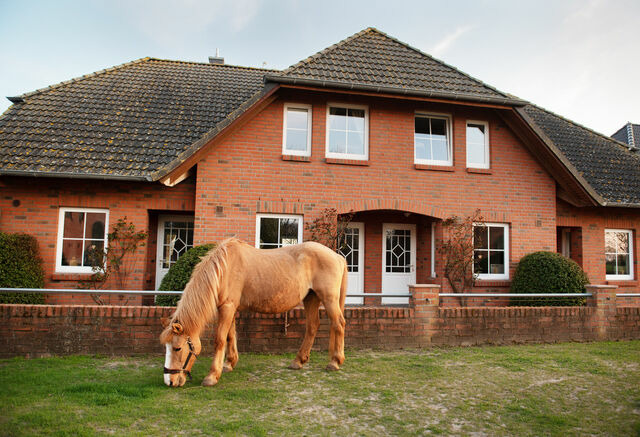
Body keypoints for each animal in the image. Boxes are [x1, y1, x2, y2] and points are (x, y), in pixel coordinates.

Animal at [162, 238, 348, 384]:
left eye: (177, 348)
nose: (170, 381)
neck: (224, 268)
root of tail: (337, 257)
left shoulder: (227, 307)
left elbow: (220, 339)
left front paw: (212, 376)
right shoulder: (230, 308)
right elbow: (230, 335)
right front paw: (229, 364)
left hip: (329, 298)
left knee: (338, 324)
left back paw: (334, 362)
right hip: (311, 298)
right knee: (312, 326)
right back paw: (298, 361)